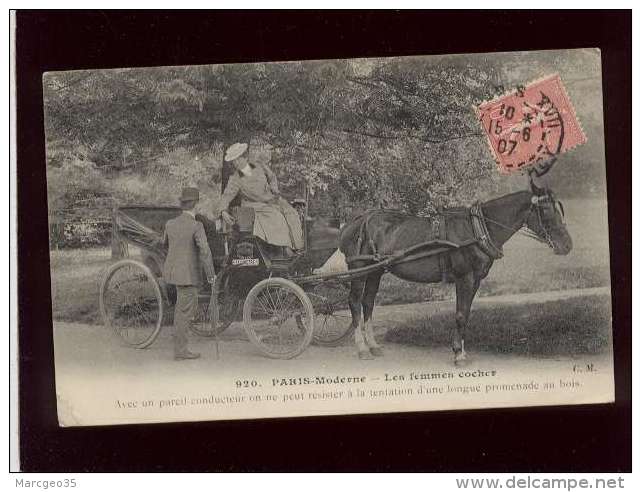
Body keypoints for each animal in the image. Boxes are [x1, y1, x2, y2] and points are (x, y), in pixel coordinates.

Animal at [338, 183, 572, 364]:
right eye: (546, 211)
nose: (567, 245)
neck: (477, 229)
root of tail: (355, 222)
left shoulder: (476, 280)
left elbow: (465, 314)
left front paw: (462, 350)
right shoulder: (465, 278)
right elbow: (460, 315)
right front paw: (458, 354)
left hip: (375, 271)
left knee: (368, 303)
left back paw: (374, 346)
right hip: (359, 269)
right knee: (355, 302)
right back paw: (362, 349)